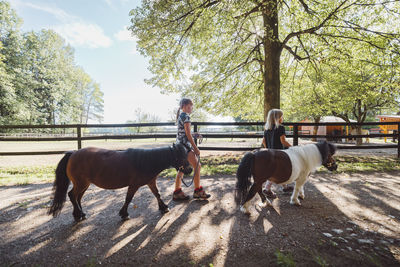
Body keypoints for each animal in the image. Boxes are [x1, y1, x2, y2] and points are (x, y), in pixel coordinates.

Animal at [48, 144, 189, 222]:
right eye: (181, 156)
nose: (190, 170)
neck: (146, 161)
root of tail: (73, 153)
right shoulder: (134, 185)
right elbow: (128, 199)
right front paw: (124, 214)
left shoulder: (151, 182)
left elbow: (157, 194)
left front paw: (164, 207)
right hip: (81, 183)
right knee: (72, 195)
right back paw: (79, 214)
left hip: (84, 184)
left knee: (77, 197)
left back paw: (79, 214)